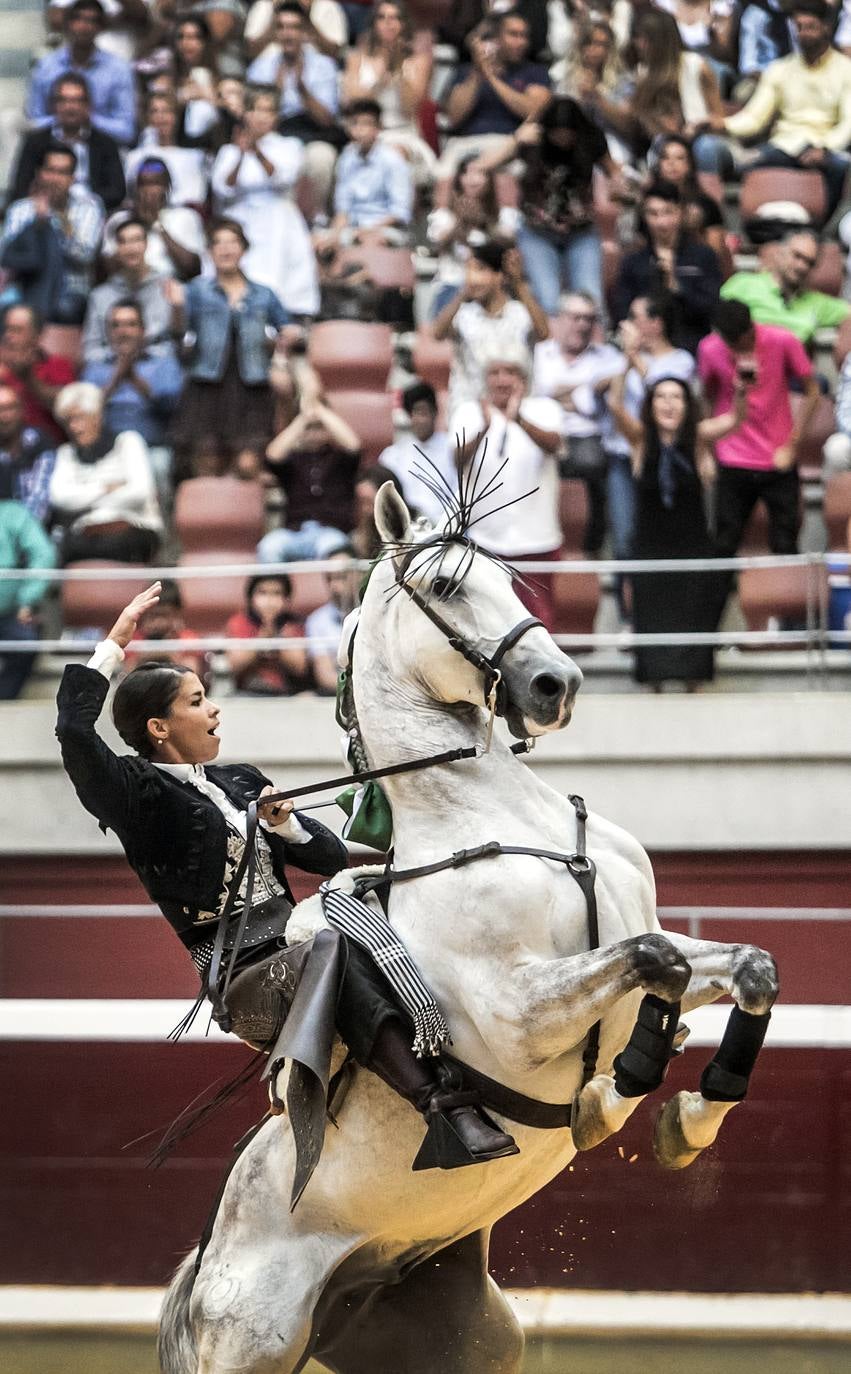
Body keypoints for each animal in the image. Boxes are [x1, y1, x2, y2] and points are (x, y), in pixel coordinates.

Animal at [158, 489, 780, 1374]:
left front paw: (686, 1116)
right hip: (256, 1343)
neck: (499, 817)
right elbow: (650, 962)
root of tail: (208, 1259)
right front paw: (609, 1097)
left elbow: (744, 966)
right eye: (449, 585)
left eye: (510, 580)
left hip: (466, 1339)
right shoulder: (516, 1012)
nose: (558, 683)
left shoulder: (659, 947)